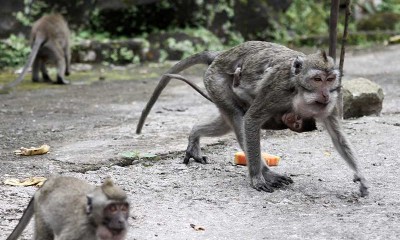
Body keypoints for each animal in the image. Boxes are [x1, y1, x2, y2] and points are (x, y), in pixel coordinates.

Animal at [136, 40, 368, 196]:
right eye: (318, 79)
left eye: (330, 79)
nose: (325, 94)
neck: (300, 93)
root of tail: (221, 55)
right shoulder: (276, 90)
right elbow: (252, 121)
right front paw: (257, 177)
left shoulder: (332, 102)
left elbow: (337, 137)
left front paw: (361, 178)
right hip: (215, 80)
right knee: (239, 118)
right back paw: (266, 172)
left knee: (228, 120)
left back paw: (194, 134)